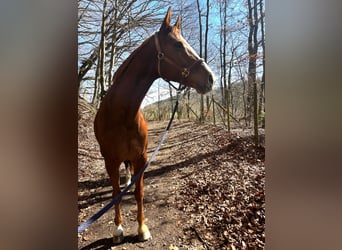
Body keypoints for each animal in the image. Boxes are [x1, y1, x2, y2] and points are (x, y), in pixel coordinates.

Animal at [94, 6, 214, 243]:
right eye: (178, 45)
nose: (211, 78)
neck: (121, 115)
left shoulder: (142, 157)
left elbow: (139, 192)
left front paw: (142, 228)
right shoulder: (110, 161)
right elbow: (115, 194)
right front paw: (118, 229)